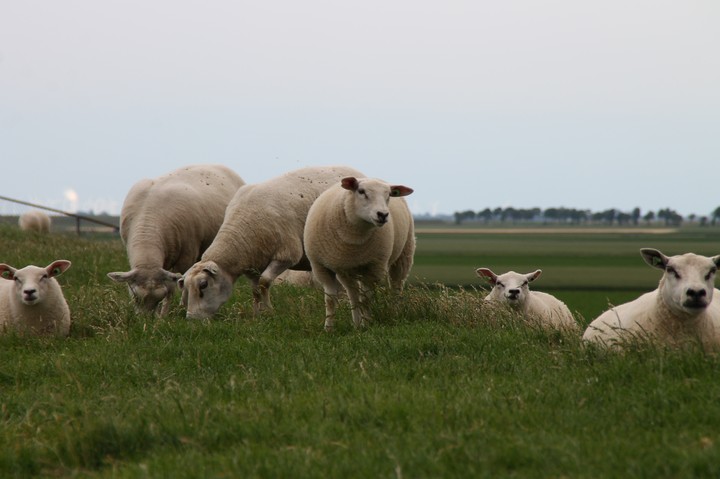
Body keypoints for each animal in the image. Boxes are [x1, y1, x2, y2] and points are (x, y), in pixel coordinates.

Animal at [107, 164, 245, 315]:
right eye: (135, 296)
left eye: (159, 297)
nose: (145, 319)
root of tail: (218, 165)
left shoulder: (186, 255)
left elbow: (174, 287)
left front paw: (164, 314)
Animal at [179, 165, 364, 319]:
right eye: (186, 287)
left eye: (203, 285)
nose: (192, 319)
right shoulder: (253, 264)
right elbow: (254, 290)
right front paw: (256, 315)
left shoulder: (286, 255)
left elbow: (264, 282)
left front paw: (269, 312)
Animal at [303, 176, 415, 331]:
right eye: (361, 191)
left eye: (389, 195)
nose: (383, 215)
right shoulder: (322, 267)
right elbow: (331, 300)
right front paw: (328, 329)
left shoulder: (374, 267)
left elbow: (366, 299)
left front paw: (367, 325)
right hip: (349, 270)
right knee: (353, 294)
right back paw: (356, 324)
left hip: (404, 254)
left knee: (396, 286)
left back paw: (394, 314)